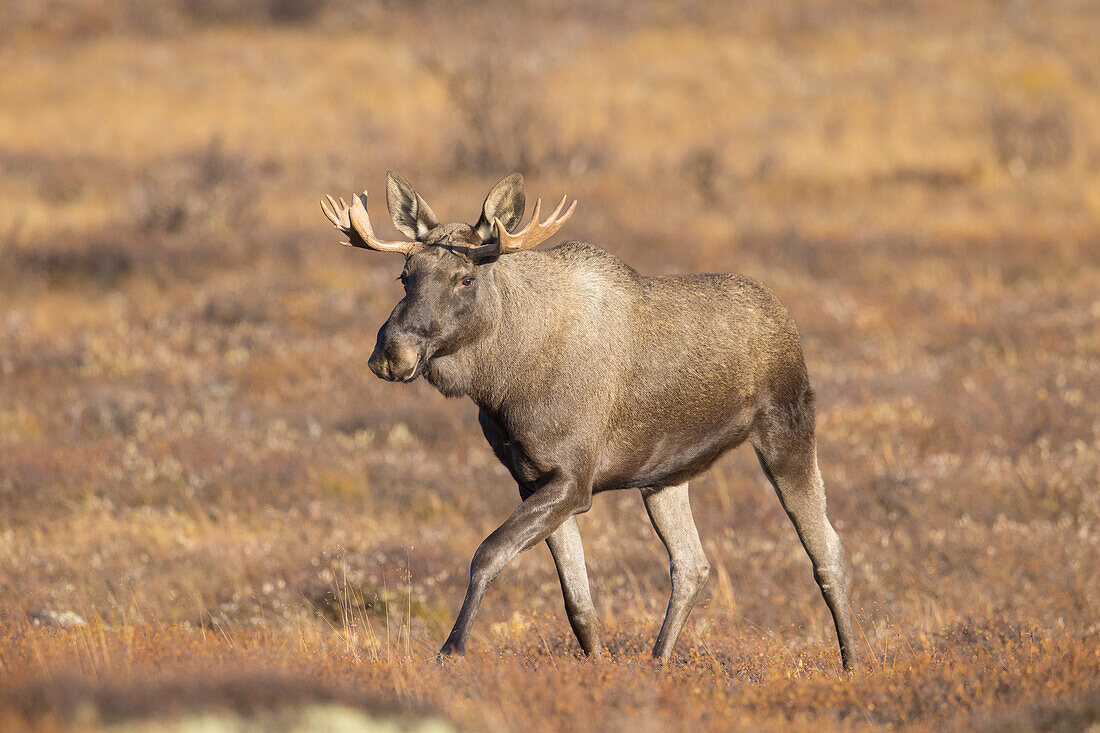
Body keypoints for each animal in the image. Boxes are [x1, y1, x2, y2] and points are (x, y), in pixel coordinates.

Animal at [319, 172, 858, 669]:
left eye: (464, 278)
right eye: (404, 275)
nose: (391, 354)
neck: (501, 381)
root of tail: (784, 315)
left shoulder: (573, 479)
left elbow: (488, 554)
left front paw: (451, 649)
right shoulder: (532, 478)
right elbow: (577, 602)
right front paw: (598, 668)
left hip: (788, 432)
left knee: (826, 550)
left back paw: (853, 662)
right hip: (664, 477)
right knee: (692, 565)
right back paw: (658, 662)